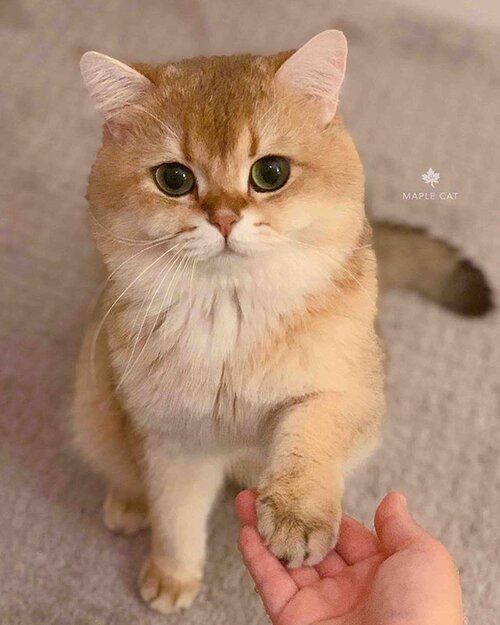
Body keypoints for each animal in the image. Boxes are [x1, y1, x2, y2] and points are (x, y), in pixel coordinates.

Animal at [74, 30, 492, 616]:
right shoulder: (170, 439)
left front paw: (296, 515)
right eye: (173, 179)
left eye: (270, 173)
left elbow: (310, 426)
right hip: (92, 402)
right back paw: (128, 502)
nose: (224, 219)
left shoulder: (349, 389)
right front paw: (172, 576)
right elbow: (175, 518)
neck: (231, 318)